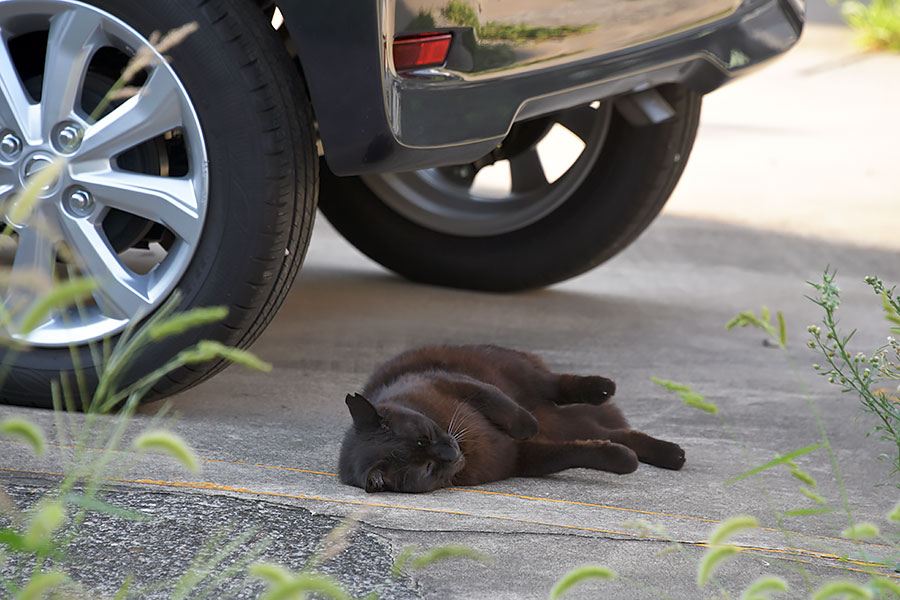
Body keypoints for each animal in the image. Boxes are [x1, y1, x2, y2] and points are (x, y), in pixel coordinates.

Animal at [342, 344, 684, 494]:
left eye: (425, 433)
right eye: (426, 467)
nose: (450, 453)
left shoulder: (449, 381)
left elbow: (500, 403)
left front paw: (526, 426)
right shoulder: (524, 459)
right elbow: (578, 453)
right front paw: (623, 461)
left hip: (519, 374)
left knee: (555, 385)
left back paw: (600, 388)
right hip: (569, 424)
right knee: (616, 434)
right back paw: (669, 454)